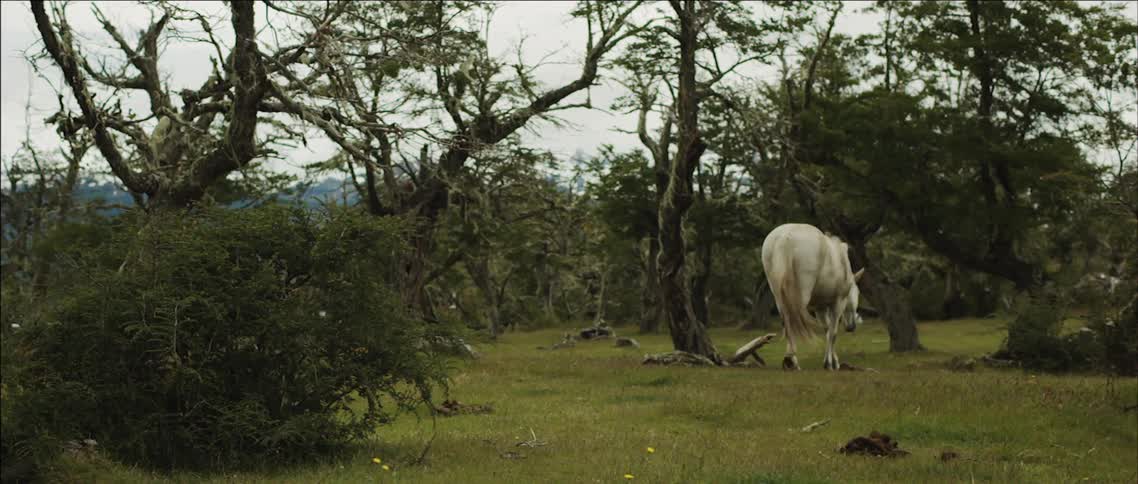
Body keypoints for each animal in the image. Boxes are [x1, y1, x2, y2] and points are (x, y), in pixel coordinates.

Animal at [761, 223, 864, 371]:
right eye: (857, 293)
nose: (852, 327)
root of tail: (784, 239)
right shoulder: (838, 303)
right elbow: (833, 333)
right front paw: (830, 364)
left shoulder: (819, 308)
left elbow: (827, 331)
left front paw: (832, 360)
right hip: (801, 297)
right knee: (793, 320)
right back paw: (792, 361)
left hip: (778, 296)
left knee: (786, 321)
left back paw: (789, 361)